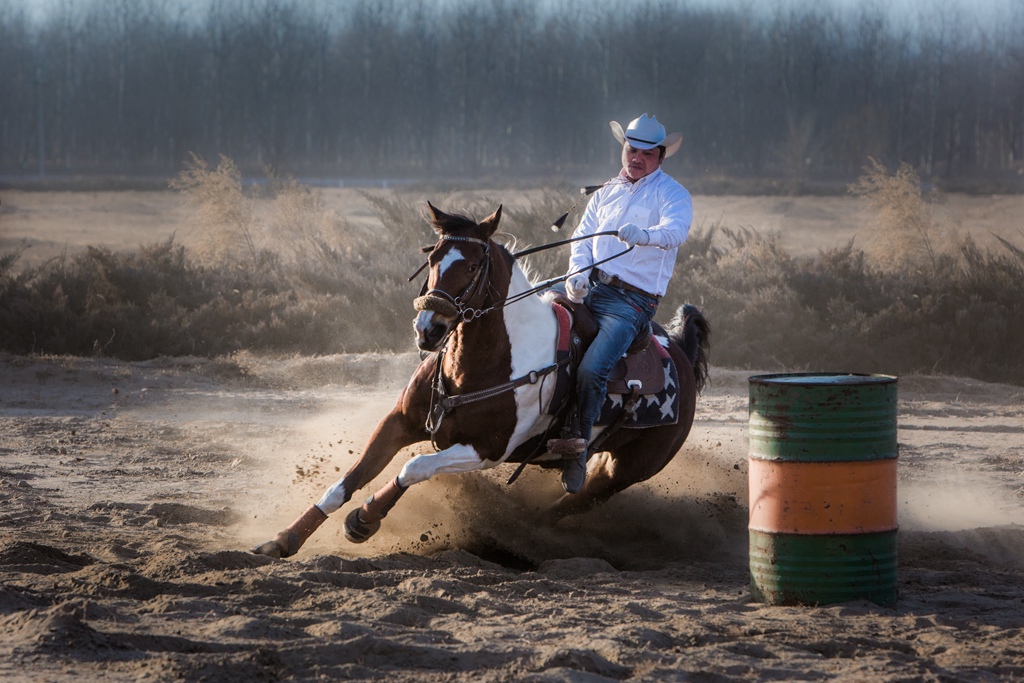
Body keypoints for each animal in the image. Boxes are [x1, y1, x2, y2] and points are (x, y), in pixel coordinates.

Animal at [251, 200, 708, 557]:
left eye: (471, 266)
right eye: (432, 260)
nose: (428, 330)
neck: (480, 363)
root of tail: (680, 353)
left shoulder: (486, 450)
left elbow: (414, 467)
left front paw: (364, 519)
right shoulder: (399, 421)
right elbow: (349, 480)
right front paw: (285, 538)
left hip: (623, 472)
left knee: (564, 508)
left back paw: (521, 533)